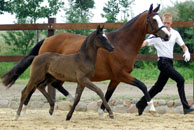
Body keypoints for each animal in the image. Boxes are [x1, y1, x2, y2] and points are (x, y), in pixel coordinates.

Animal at [1, 4, 169, 116]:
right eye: (154, 20)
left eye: (161, 19)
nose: (167, 36)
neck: (121, 44)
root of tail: (46, 40)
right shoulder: (122, 75)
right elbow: (143, 86)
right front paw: (152, 108)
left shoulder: (116, 78)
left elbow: (108, 94)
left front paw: (102, 112)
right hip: (45, 73)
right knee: (34, 87)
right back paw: (23, 111)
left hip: (55, 74)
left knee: (52, 85)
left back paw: (69, 101)